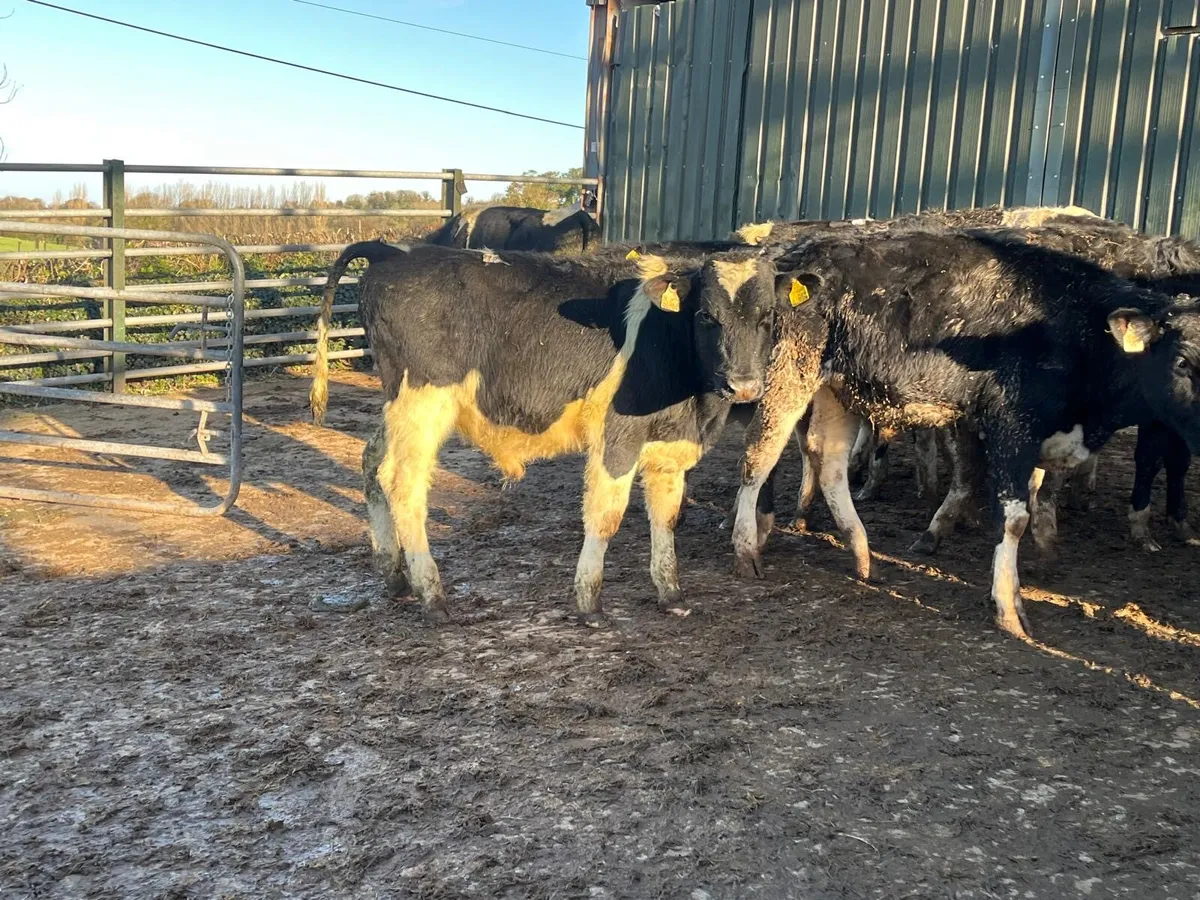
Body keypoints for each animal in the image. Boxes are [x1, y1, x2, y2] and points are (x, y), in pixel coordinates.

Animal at [311, 240, 795, 625]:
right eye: (706, 315)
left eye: (768, 317)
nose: (743, 385)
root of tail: (393, 250)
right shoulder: (617, 436)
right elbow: (606, 516)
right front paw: (590, 604)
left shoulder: (669, 446)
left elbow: (665, 515)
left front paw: (671, 594)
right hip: (423, 403)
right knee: (403, 485)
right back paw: (433, 596)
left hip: (399, 407)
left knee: (371, 464)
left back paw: (394, 577)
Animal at [727, 226, 1200, 640]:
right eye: (1182, 362)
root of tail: (790, 258)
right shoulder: (1010, 425)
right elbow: (1013, 518)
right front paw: (1008, 610)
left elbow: (1031, 498)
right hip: (788, 372)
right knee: (760, 452)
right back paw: (747, 547)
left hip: (837, 387)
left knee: (829, 462)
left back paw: (860, 554)